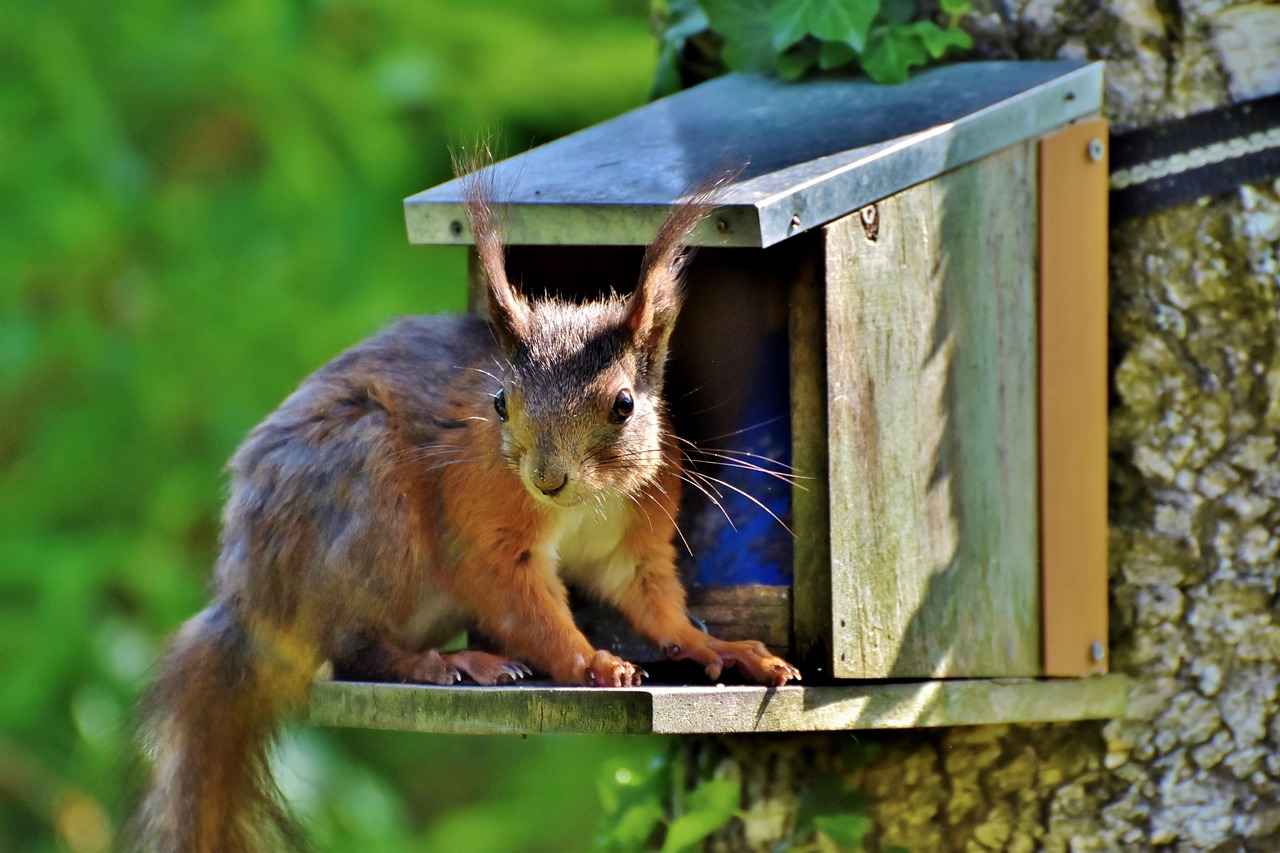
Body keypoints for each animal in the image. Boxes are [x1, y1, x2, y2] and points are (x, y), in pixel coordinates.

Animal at [127, 167, 788, 850]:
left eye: (624, 404)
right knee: (355, 650)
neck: (585, 503)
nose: (546, 479)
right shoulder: (485, 525)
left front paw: (718, 647)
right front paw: (593, 661)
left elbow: (651, 600)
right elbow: (518, 599)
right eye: (499, 402)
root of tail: (252, 605)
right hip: (368, 507)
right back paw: (448, 662)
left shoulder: (632, 542)